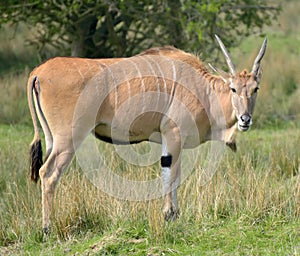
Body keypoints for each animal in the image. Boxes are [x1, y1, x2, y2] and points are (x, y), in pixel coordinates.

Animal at [28, 35, 268, 235]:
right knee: (48, 173)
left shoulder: (169, 141)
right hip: (68, 139)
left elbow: (173, 175)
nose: (245, 119)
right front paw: (169, 215)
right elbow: (171, 174)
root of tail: (38, 72)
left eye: (255, 89)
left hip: (52, 139)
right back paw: (47, 229)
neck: (204, 89)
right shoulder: (173, 135)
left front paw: (174, 214)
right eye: (233, 88)